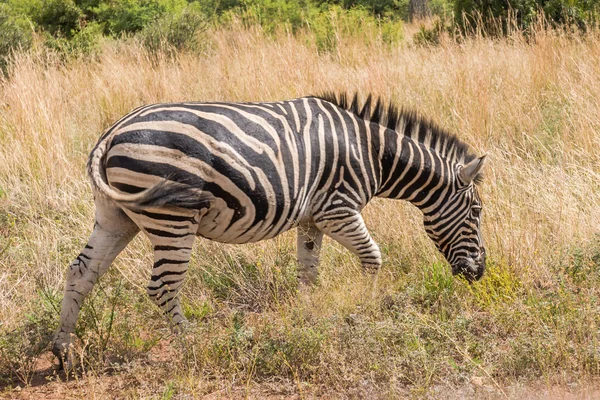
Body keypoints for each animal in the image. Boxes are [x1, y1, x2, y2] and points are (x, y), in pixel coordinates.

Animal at [50, 92, 482, 364]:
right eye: (477, 211)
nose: (478, 273)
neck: (372, 153)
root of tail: (110, 134)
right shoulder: (337, 209)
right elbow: (372, 257)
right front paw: (364, 309)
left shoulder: (311, 219)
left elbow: (308, 273)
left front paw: (309, 318)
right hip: (173, 218)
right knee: (162, 287)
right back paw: (191, 343)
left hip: (115, 215)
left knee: (81, 272)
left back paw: (63, 350)